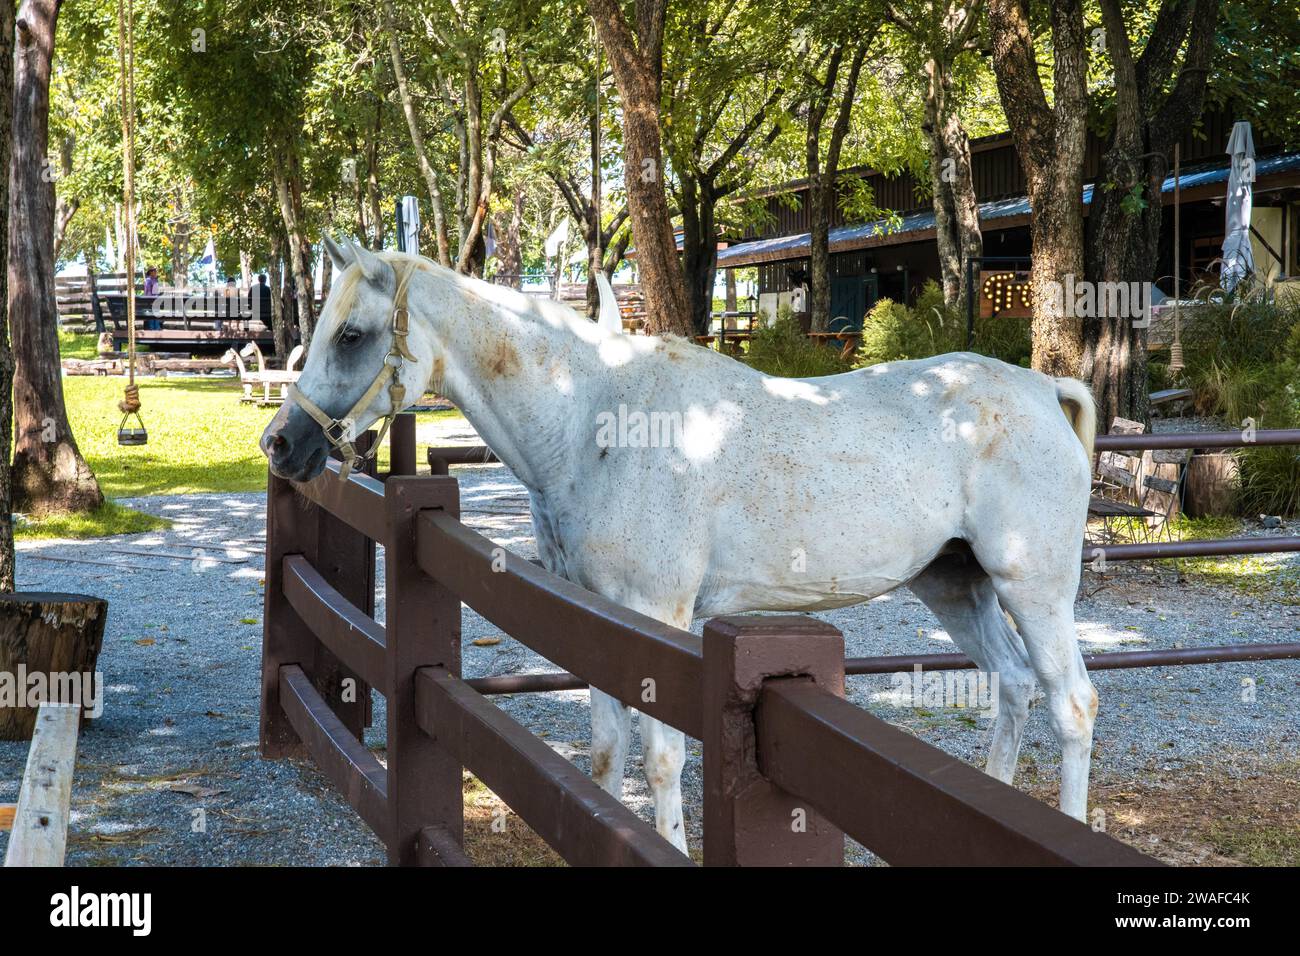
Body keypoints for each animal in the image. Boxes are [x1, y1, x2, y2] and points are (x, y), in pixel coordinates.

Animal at [261, 238, 1100, 852]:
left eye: (352, 335)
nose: (280, 443)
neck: (595, 420)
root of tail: (1041, 389)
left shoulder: (657, 618)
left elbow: (662, 756)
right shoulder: (595, 617)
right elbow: (607, 752)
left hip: (1033, 590)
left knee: (1072, 704)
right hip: (956, 584)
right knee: (1013, 686)